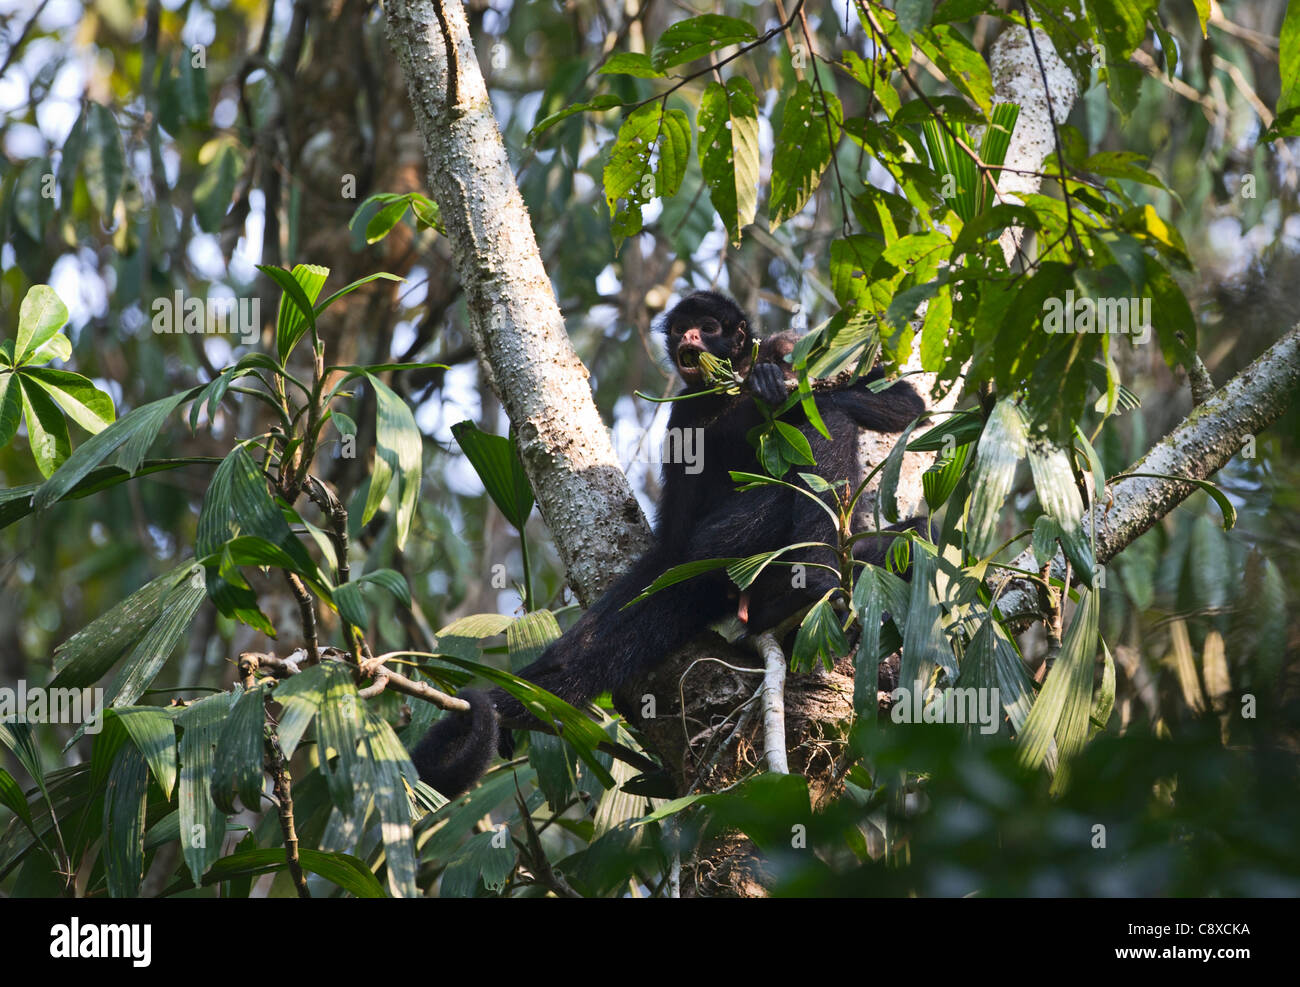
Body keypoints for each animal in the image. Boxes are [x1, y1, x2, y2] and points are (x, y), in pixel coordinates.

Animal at [411, 291, 926, 797]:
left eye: (708, 327)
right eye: (681, 329)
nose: (690, 338)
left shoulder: (787, 344)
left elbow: (904, 399)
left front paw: (773, 382)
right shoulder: (682, 413)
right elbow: (678, 523)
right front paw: (769, 393)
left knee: (860, 460)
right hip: (723, 551)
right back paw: (807, 586)